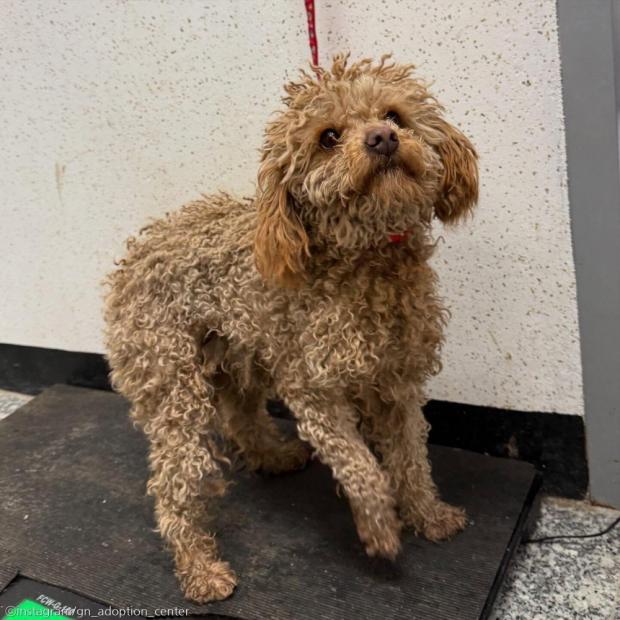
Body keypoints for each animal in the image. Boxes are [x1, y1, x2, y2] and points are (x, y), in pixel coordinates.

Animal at [103, 55, 480, 604]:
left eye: (394, 114)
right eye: (328, 137)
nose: (383, 138)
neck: (369, 260)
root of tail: (132, 257)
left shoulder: (398, 381)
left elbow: (412, 456)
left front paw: (429, 515)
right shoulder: (314, 388)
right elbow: (361, 466)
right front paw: (381, 530)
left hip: (238, 348)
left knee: (241, 415)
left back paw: (274, 457)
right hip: (172, 379)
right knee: (174, 481)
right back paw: (200, 569)